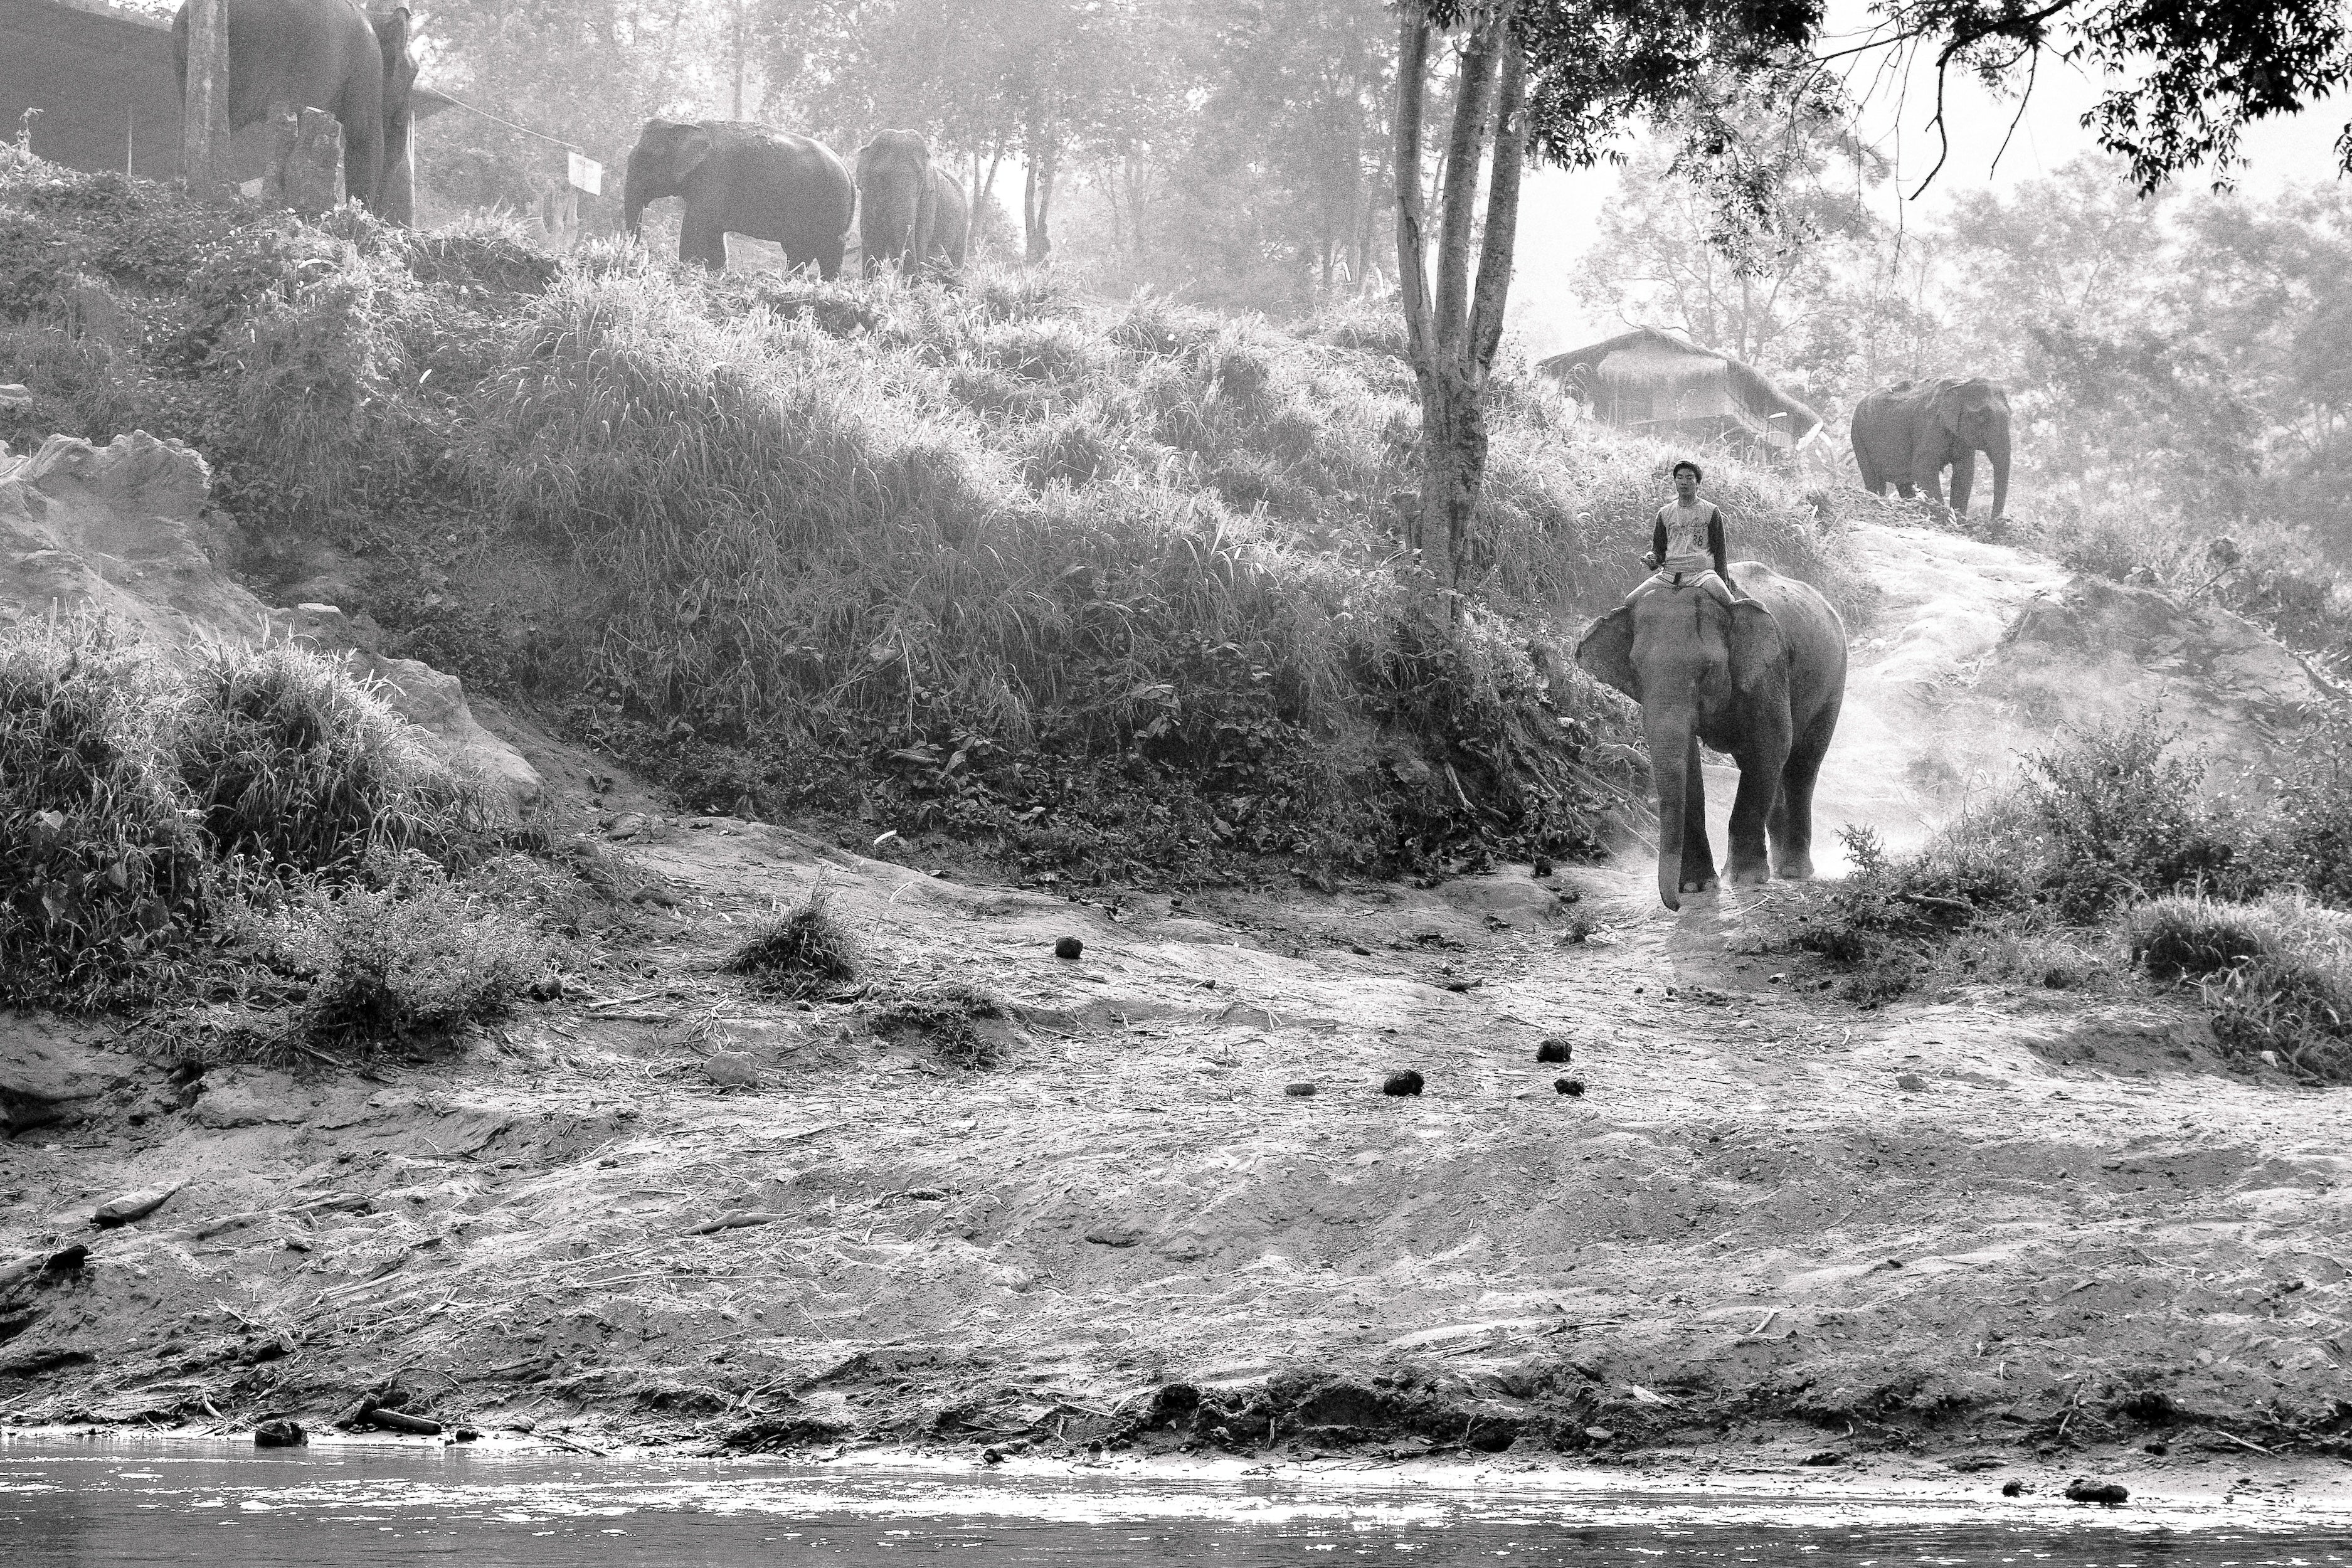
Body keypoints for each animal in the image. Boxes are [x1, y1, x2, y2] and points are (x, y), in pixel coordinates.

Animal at [172, 0, 419, 224]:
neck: (373, 15)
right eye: (414, 73)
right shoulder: (367, 65)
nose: (383, 215)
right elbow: (365, 137)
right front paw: (362, 215)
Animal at [623, 120, 856, 277]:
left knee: (826, 252)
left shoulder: (715, 176)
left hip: (832, 208)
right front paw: (717, 274)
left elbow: (695, 226)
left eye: (645, 158)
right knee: (801, 253)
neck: (687, 126)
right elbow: (715, 235)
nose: (636, 259)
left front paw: (687, 270)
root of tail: (848, 172)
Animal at [854, 130, 970, 280]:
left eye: (921, 180)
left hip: (963, 228)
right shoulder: (867, 197)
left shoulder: (929, 198)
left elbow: (920, 240)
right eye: (881, 176)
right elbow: (872, 244)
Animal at [1576, 562, 1848, 911]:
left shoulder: (1769, 672)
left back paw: (1793, 871)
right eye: (1635, 669)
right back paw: (1779, 866)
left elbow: (1772, 744)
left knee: (1802, 764)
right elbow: (1689, 761)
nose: (1675, 905)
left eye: (1707, 669)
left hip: (1834, 684)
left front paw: (1743, 879)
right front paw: (1696, 886)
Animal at [1850, 376, 2012, 518]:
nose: (1994, 521)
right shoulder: (1930, 425)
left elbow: (1964, 473)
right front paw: (1941, 511)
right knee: (1874, 479)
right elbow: (1922, 468)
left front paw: (1959, 517)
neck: (1961, 385)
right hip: (1858, 437)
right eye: (1982, 417)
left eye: (2010, 415)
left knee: (1904, 484)